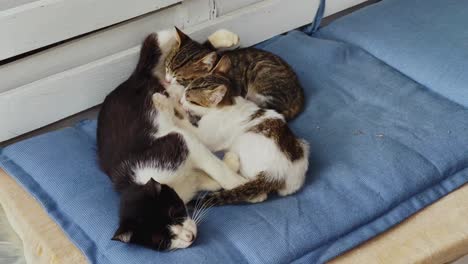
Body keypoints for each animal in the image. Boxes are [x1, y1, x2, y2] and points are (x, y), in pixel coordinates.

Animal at [97, 29, 247, 251]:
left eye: (172, 212)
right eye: (162, 240)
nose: (189, 237)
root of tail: (132, 79)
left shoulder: (178, 141)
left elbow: (214, 166)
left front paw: (238, 182)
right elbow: (205, 180)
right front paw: (230, 164)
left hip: (175, 86)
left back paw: (222, 39)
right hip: (170, 85)